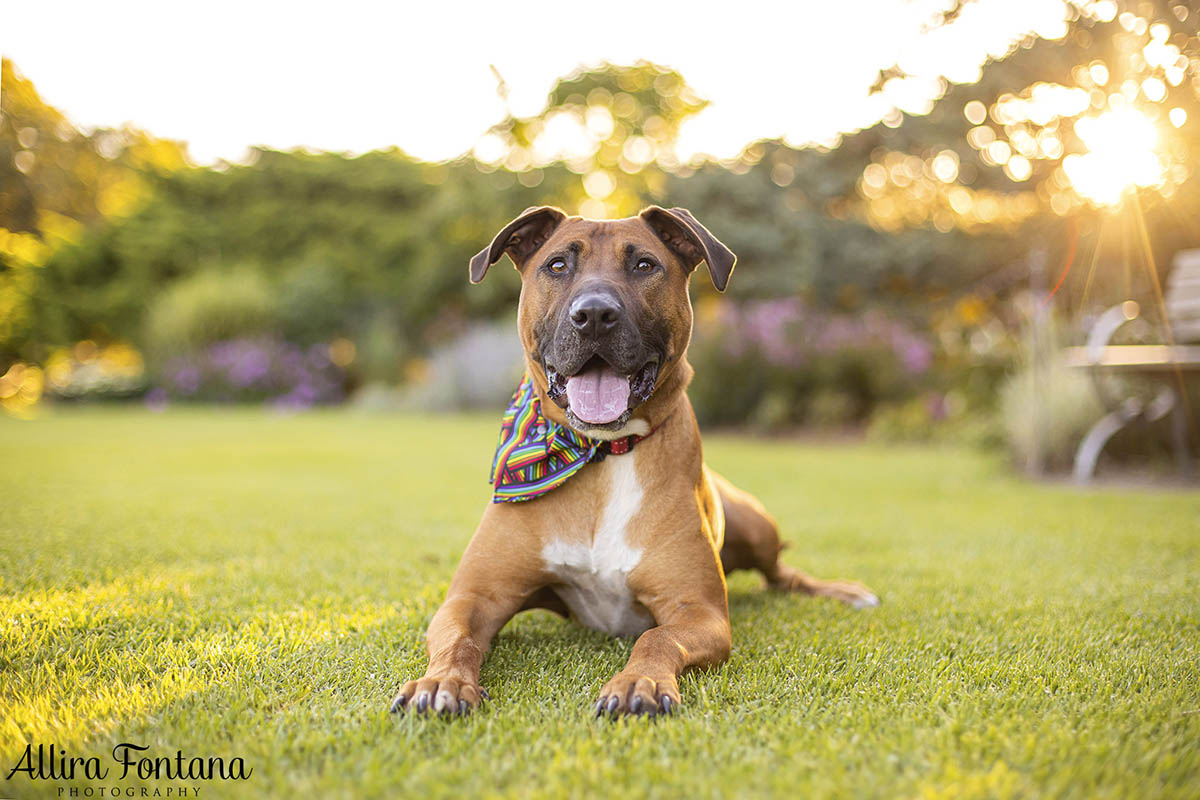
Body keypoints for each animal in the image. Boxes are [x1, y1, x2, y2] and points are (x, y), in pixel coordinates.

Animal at [388, 206, 878, 719]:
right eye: (557, 265)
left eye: (644, 265)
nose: (594, 315)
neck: (602, 453)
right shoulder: (472, 598)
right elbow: (459, 639)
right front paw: (441, 681)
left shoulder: (698, 612)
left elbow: (655, 638)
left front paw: (637, 682)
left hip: (757, 525)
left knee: (783, 575)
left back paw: (845, 591)